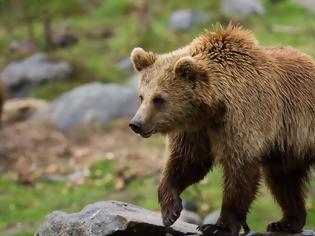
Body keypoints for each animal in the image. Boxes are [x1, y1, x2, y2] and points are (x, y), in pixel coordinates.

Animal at [128, 24, 315, 235]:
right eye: (141, 96)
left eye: (159, 99)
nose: (136, 124)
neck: (214, 107)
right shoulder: (197, 131)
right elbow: (187, 162)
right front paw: (171, 210)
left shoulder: (244, 118)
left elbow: (239, 171)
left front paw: (218, 226)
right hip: (289, 148)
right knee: (283, 179)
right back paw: (287, 221)